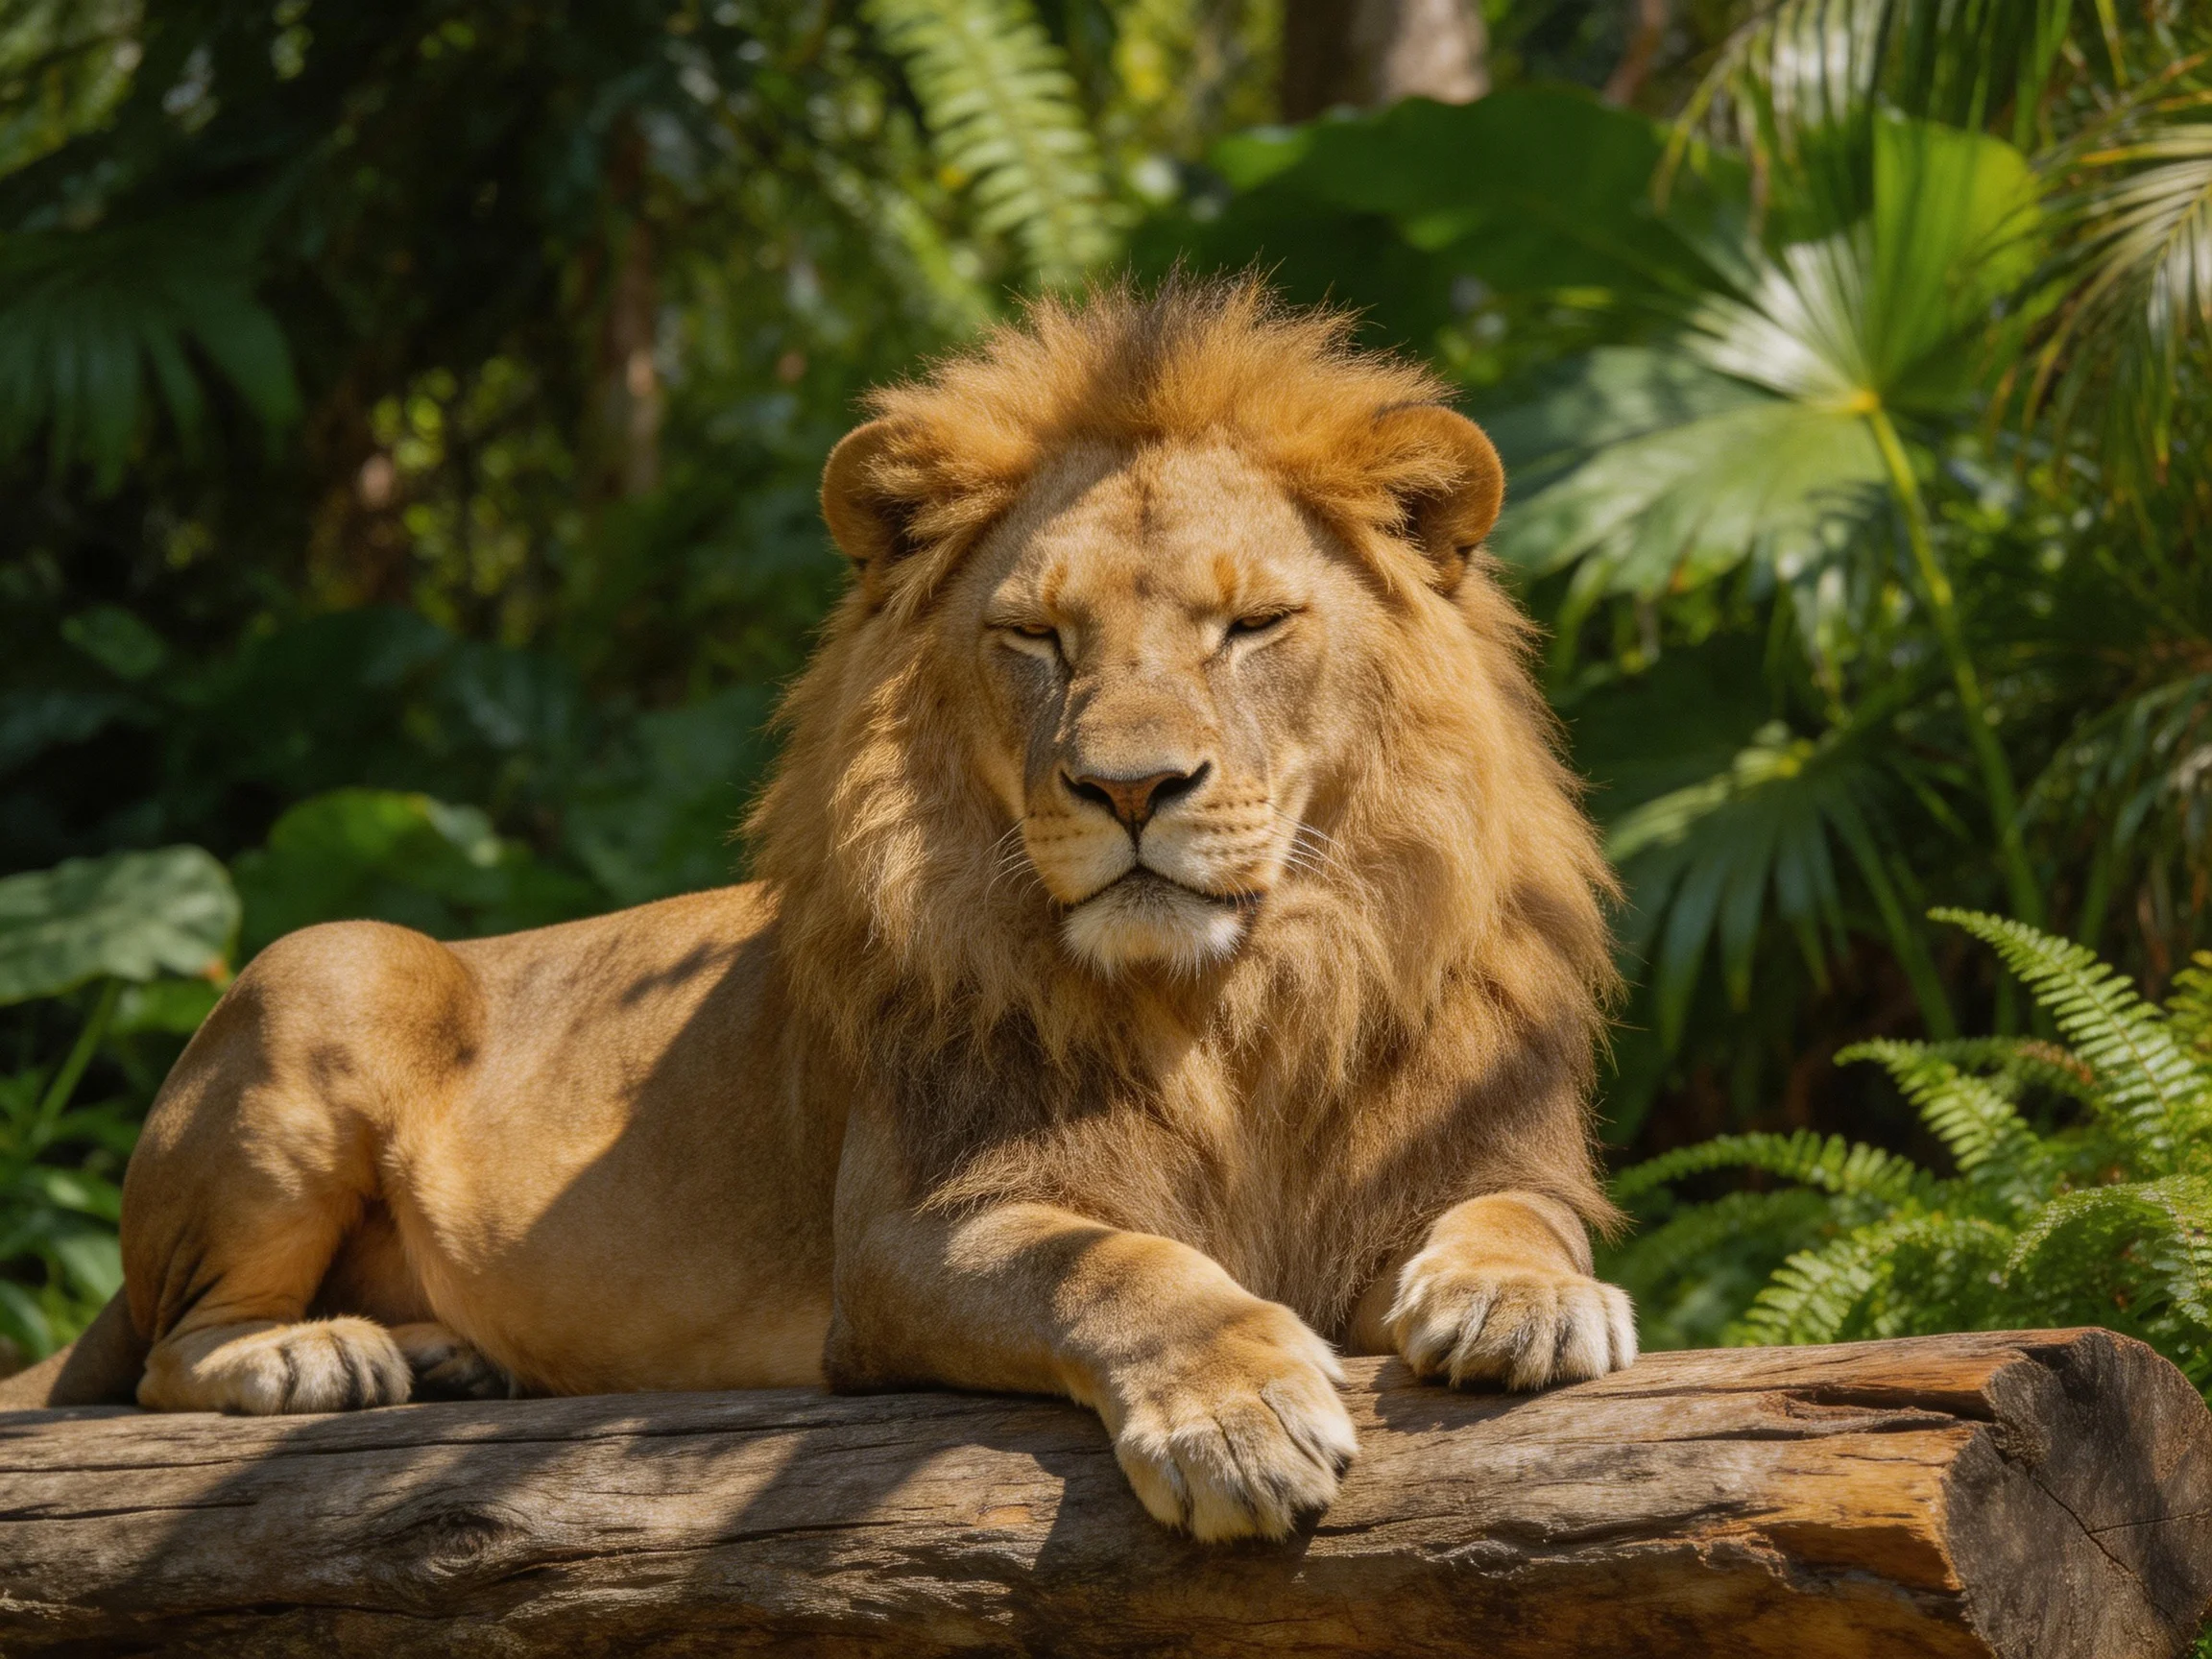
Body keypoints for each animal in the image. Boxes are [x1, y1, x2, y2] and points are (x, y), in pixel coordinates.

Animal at [0, 279, 1635, 1541]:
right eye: (1038, 638)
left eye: (1252, 625)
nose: (1129, 788)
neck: (1234, 1003)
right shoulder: (915, 1237)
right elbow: (1121, 1266)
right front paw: (1236, 1417)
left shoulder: (1488, 1148)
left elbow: (1524, 1217)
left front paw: (1521, 1304)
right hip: (331, 962)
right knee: (163, 1355)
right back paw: (312, 1361)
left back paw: (453, 1361)